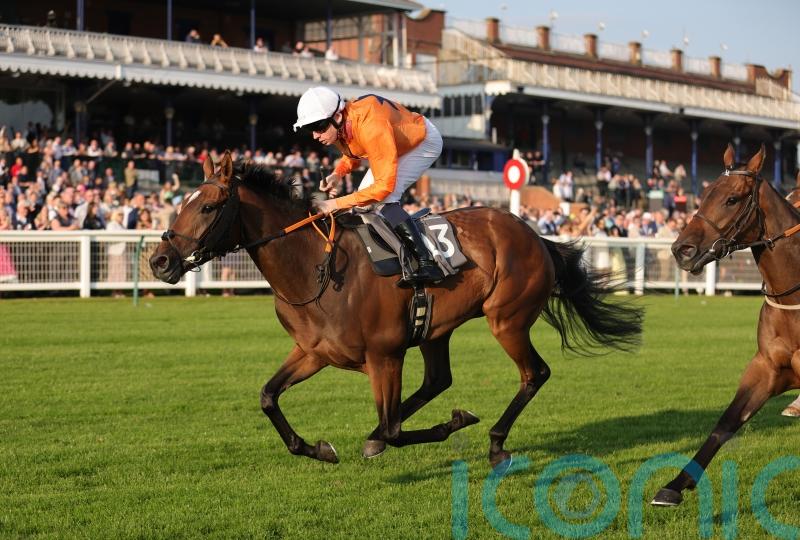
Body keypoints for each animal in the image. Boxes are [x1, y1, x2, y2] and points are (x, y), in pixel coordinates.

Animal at [149, 150, 643, 466]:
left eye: (209, 206)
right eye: (182, 203)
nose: (160, 261)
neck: (314, 269)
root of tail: (535, 235)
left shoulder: (384, 355)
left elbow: (390, 429)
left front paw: (450, 423)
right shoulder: (314, 352)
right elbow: (269, 396)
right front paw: (318, 449)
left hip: (508, 320)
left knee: (533, 373)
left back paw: (496, 443)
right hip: (436, 329)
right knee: (438, 379)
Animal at [653, 144, 800, 506]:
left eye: (732, 199)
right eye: (705, 194)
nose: (681, 249)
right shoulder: (767, 367)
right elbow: (727, 422)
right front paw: (674, 485)